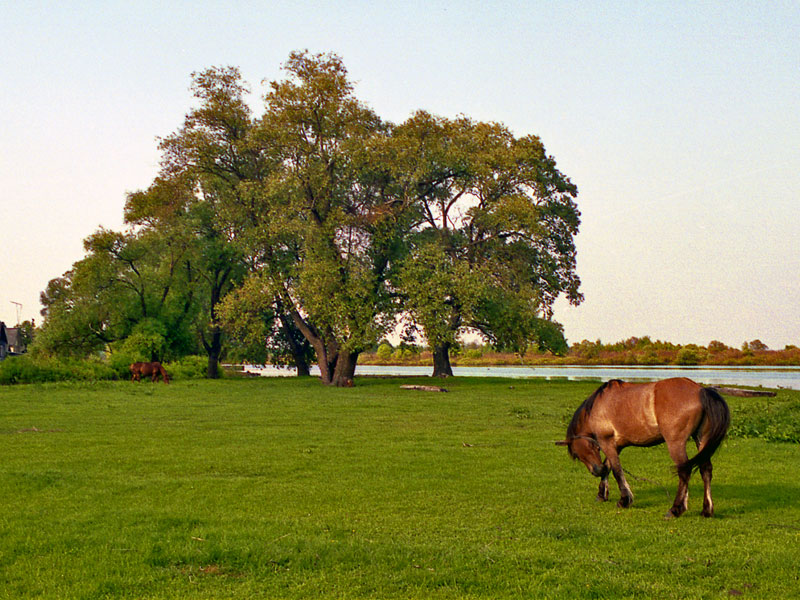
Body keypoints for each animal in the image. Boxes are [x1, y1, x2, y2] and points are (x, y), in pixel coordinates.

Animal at [560, 378, 728, 516]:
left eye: (577, 454)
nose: (596, 470)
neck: (597, 406)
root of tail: (700, 390)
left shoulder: (606, 442)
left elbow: (616, 471)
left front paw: (624, 500)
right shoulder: (615, 446)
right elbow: (608, 467)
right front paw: (602, 495)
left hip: (676, 443)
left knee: (684, 471)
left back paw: (675, 509)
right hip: (701, 439)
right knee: (705, 469)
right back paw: (706, 510)